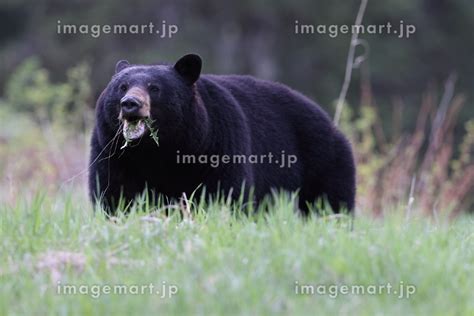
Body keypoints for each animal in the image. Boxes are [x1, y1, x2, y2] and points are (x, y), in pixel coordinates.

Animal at [89, 53, 356, 215]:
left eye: (154, 88)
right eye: (121, 87)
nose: (130, 104)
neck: (158, 151)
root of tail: (331, 123)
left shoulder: (220, 144)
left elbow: (227, 193)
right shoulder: (111, 153)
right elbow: (113, 193)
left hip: (324, 162)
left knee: (331, 202)